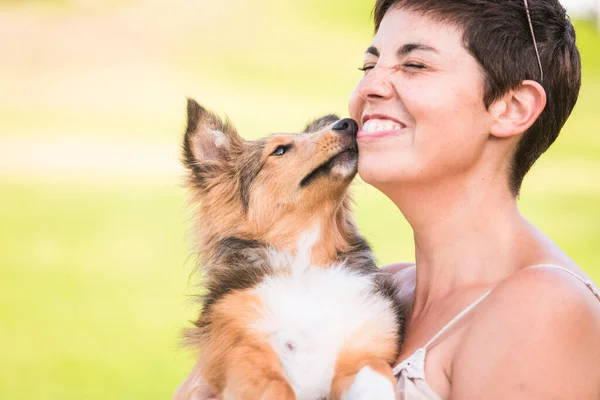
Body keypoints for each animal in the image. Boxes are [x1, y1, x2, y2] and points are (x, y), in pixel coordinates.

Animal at [180, 97, 406, 400]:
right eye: (280, 150)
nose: (348, 123)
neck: (305, 266)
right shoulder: (243, 349)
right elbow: (275, 386)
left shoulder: (364, 348)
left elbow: (376, 376)